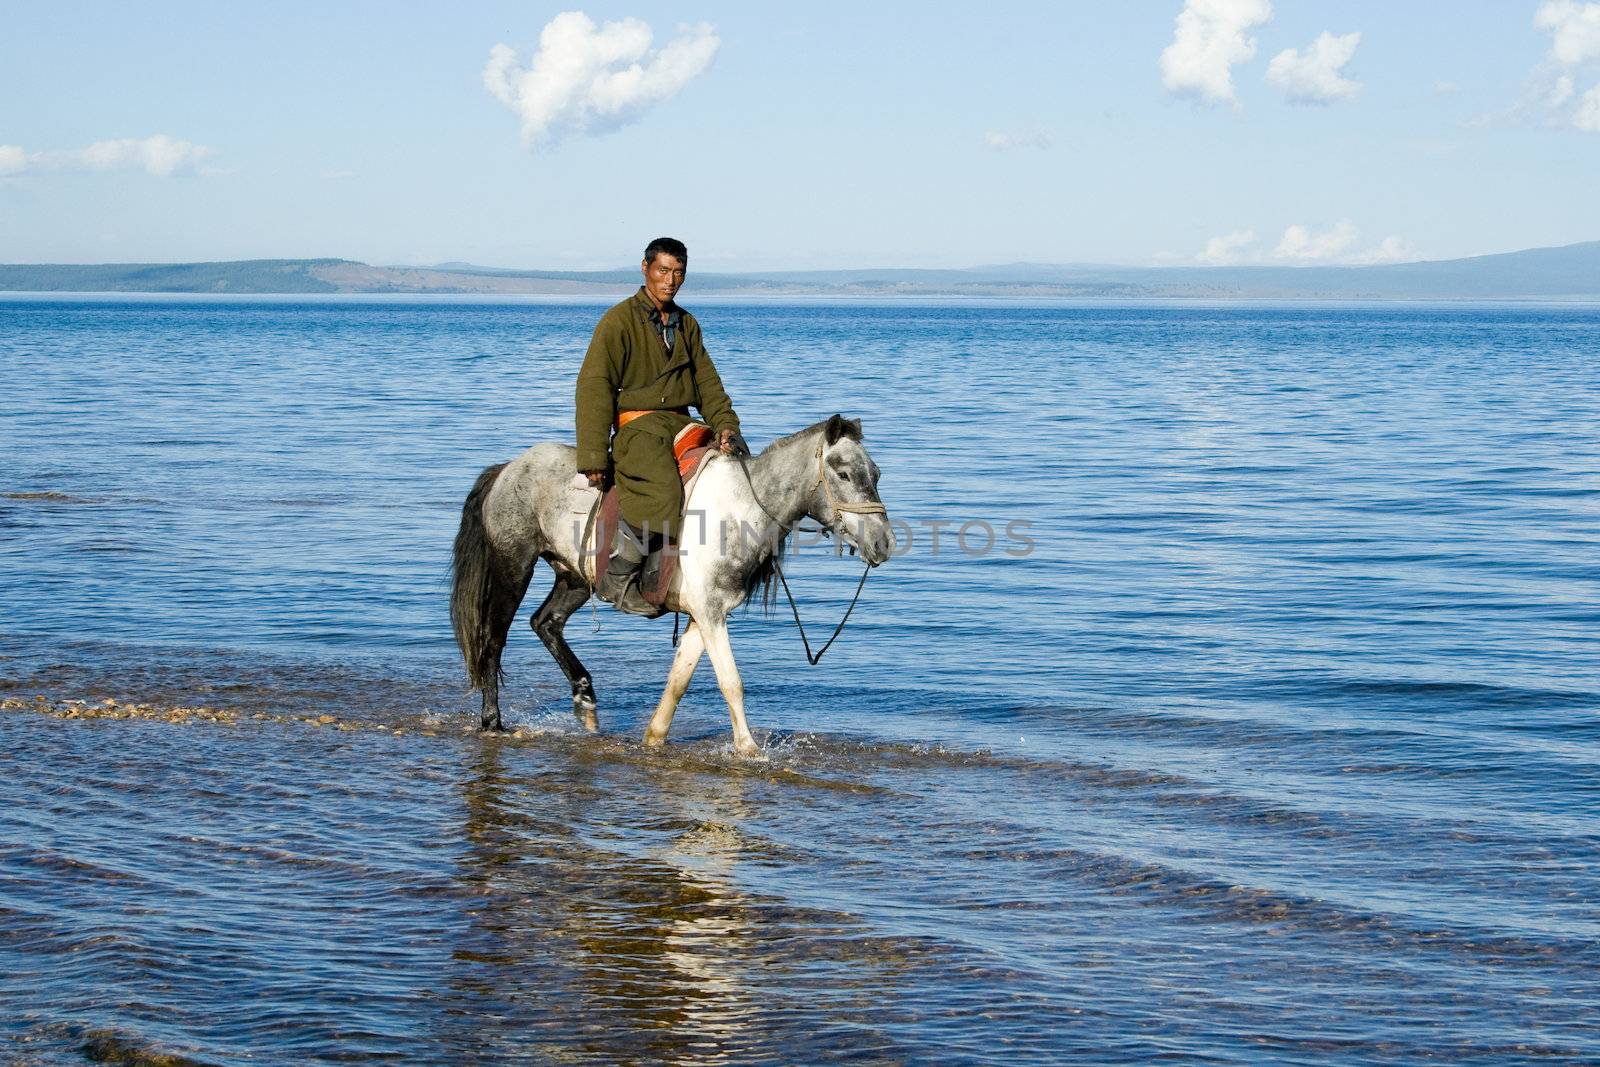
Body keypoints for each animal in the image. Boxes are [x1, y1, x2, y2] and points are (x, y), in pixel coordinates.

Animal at [451, 412, 896, 755]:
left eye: (875, 473)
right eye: (843, 473)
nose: (884, 542)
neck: (740, 508)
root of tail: (508, 469)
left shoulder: (704, 614)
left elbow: (678, 682)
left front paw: (654, 738)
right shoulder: (711, 614)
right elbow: (731, 682)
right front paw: (750, 750)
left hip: (574, 577)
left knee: (546, 623)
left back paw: (585, 698)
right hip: (514, 568)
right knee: (493, 640)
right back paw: (493, 721)